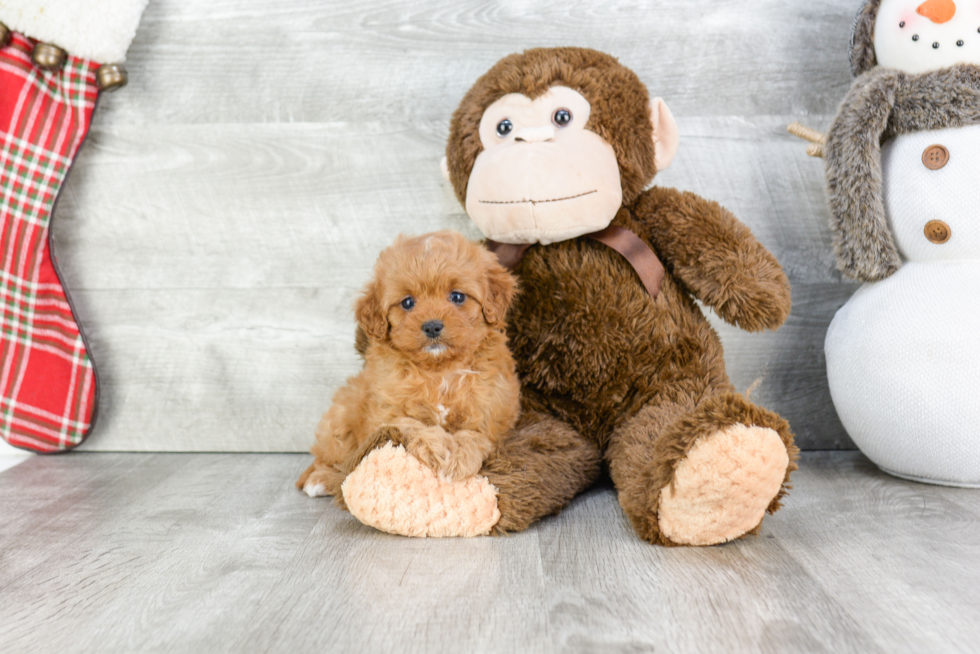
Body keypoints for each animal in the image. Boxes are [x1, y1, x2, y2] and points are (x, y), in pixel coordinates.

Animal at [296, 233, 520, 500]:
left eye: (457, 296)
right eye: (408, 302)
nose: (432, 326)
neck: (440, 370)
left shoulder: (489, 412)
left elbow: (473, 436)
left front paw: (459, 459)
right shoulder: (386, 413)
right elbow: (412, 425)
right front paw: (439, 449)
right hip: (342, 415)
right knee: (333, 457)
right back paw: (319, 478)